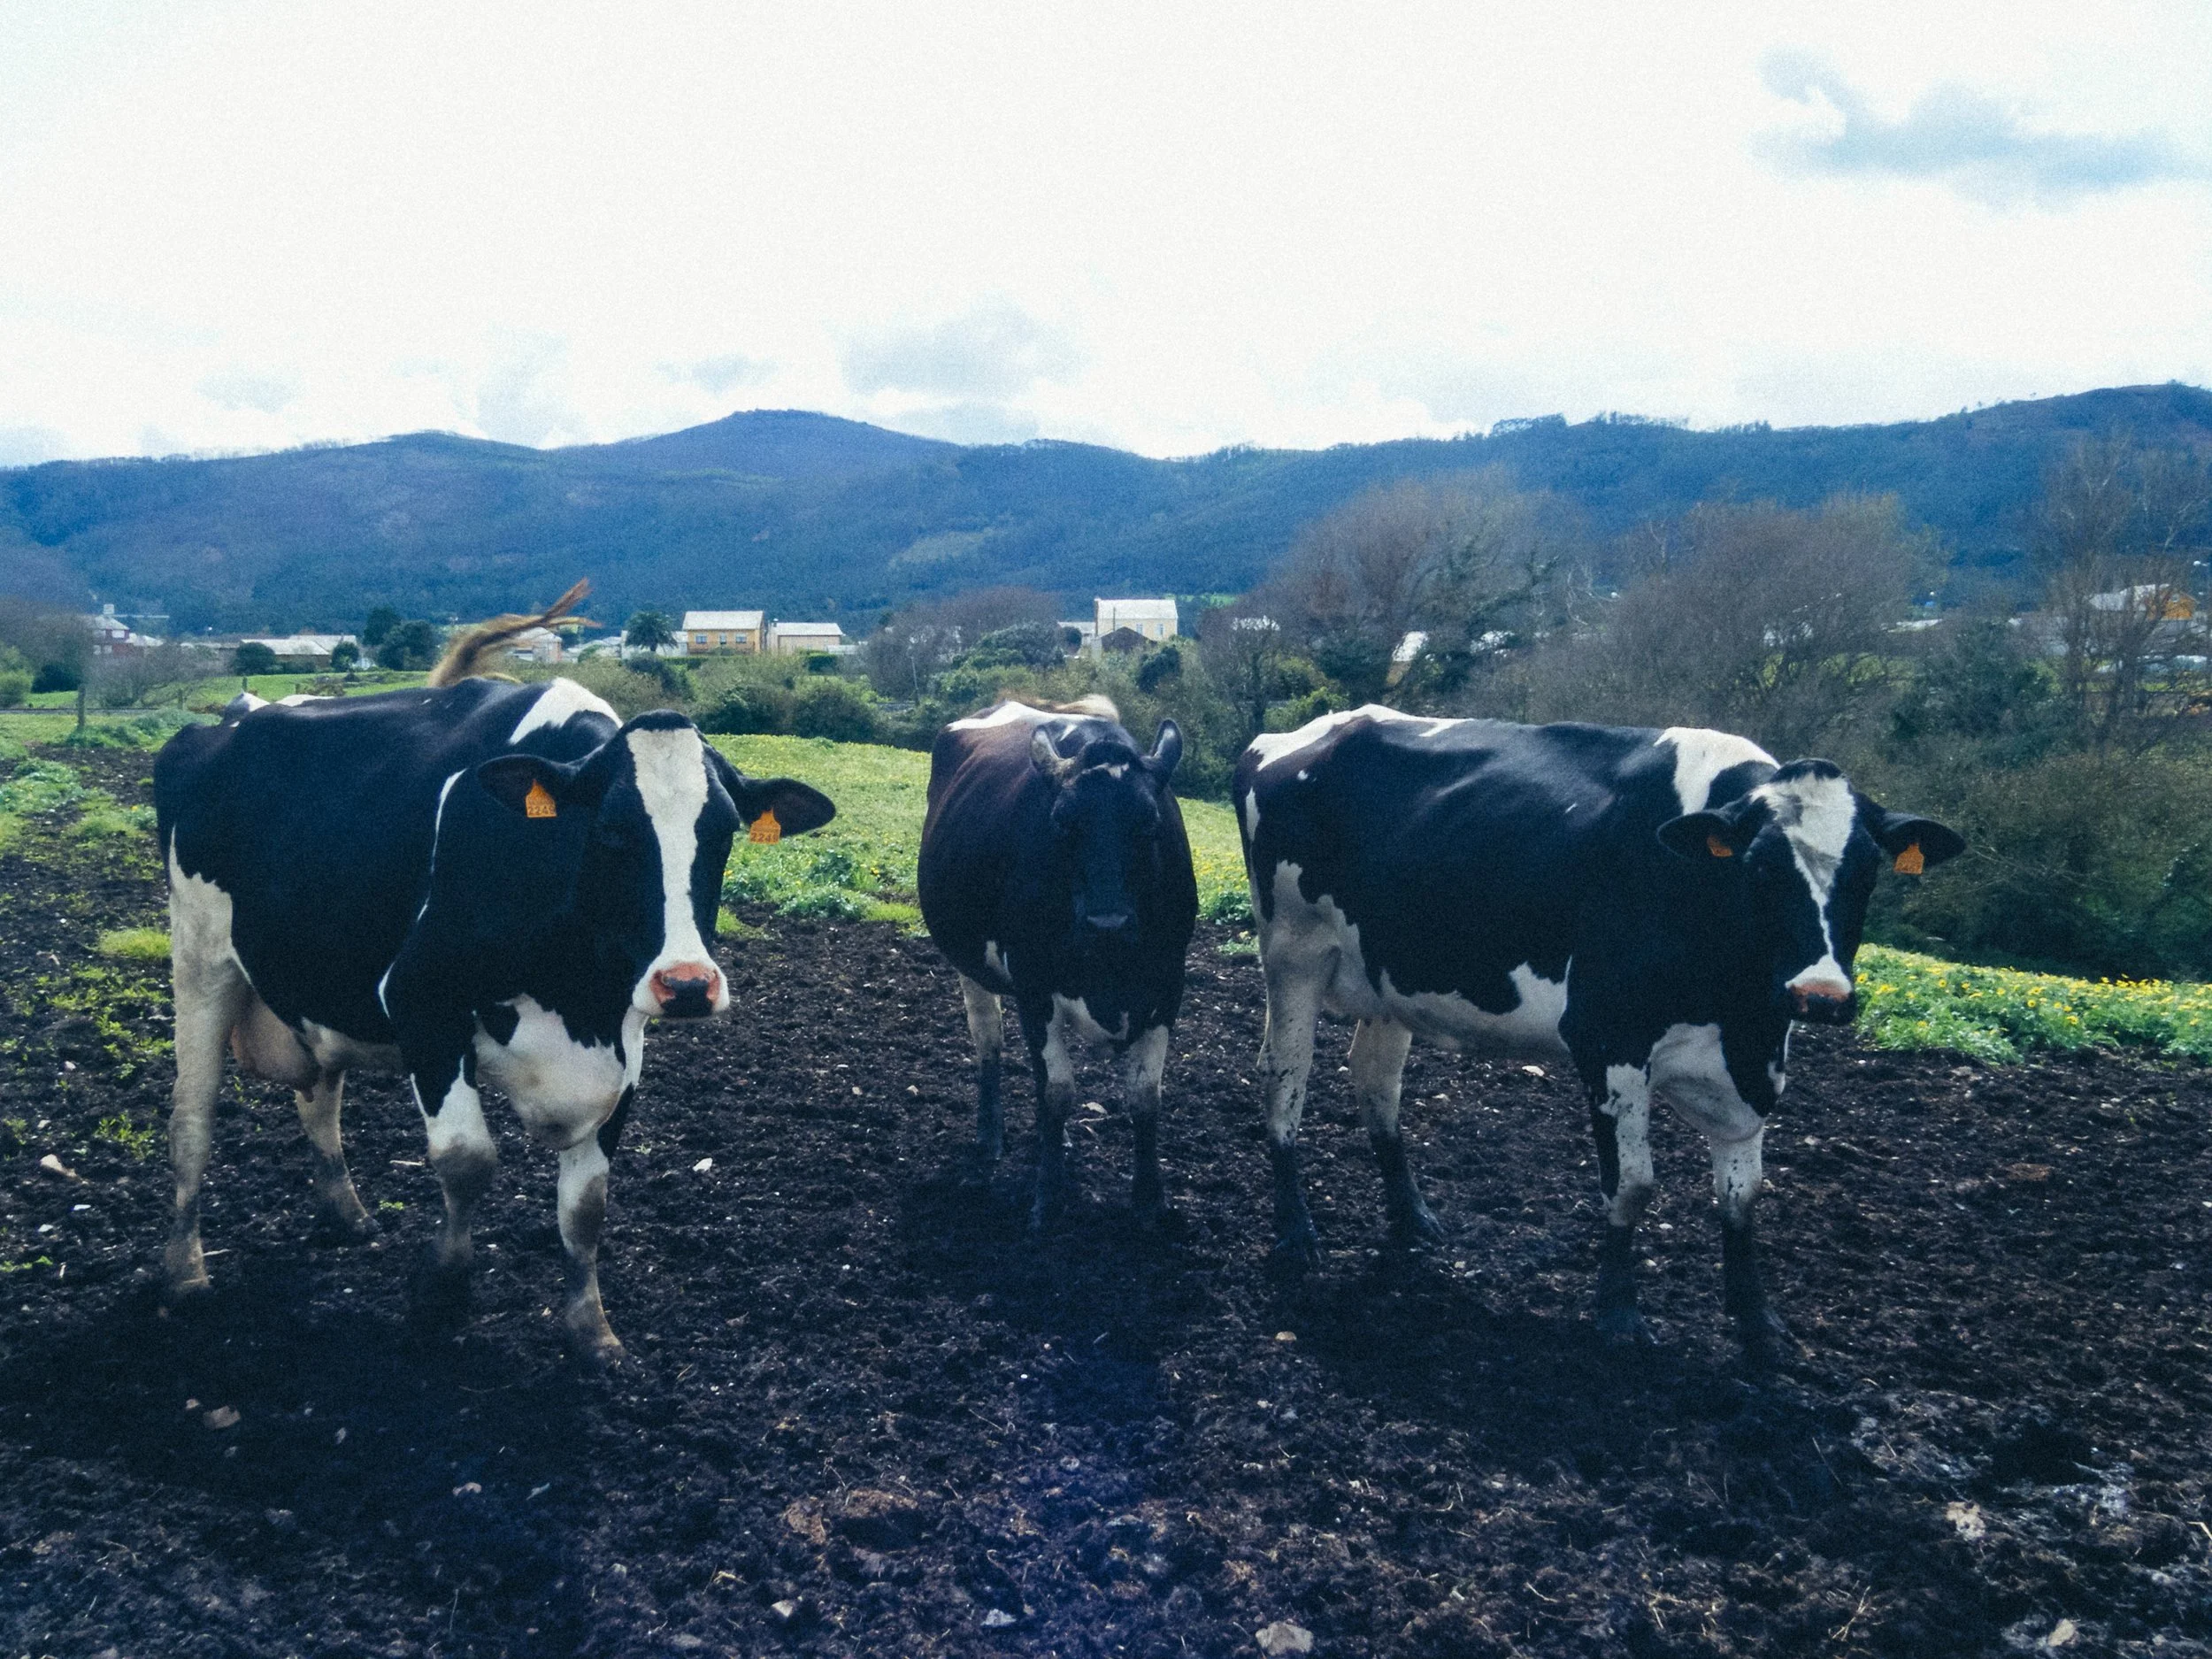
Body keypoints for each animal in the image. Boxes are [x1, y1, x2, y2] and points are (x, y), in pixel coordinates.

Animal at [153, 586, 835, 1363]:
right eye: (611, 830)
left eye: (721, 832)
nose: (688, 984)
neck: (575, 991)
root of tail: (229, 720)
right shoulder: (419, 997)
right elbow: (467, 1158)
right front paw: (441, 1290)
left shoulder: (624, 1044)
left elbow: (587, 1205)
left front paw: (590, 1327)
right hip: (200, 954)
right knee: (191, 1118)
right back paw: (185, 1273)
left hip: (313, 983)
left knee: (319, 1097)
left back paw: (346, 1213)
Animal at [918, 699, 1198, 1230]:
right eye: (1064, 822)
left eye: (1149, 823)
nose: (1107, 923)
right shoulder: (1035, 985)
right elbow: (1058, 1091)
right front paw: (1047, 1198)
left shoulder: (1167, 986)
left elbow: (1145, 1096)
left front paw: (1150, 1200)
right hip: (972, 964)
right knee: (990, 1044)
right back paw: (990, 1138)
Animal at [1235, 706, 1963, 1359]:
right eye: (1759, 867)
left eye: (1866, 871)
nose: (1821, 995)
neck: (1740, 1012)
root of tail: (1304, 732)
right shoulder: (1608, 1039)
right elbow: (1634, 1185)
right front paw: (1618, 1313)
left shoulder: (1750, 1069)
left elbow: (1743, 1197)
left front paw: (1757, 1320)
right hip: (1294, 952)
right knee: (1285, 1079)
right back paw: (1295, 1230)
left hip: (1390, 975)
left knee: (1375, 1082)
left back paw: (1411, 1214)